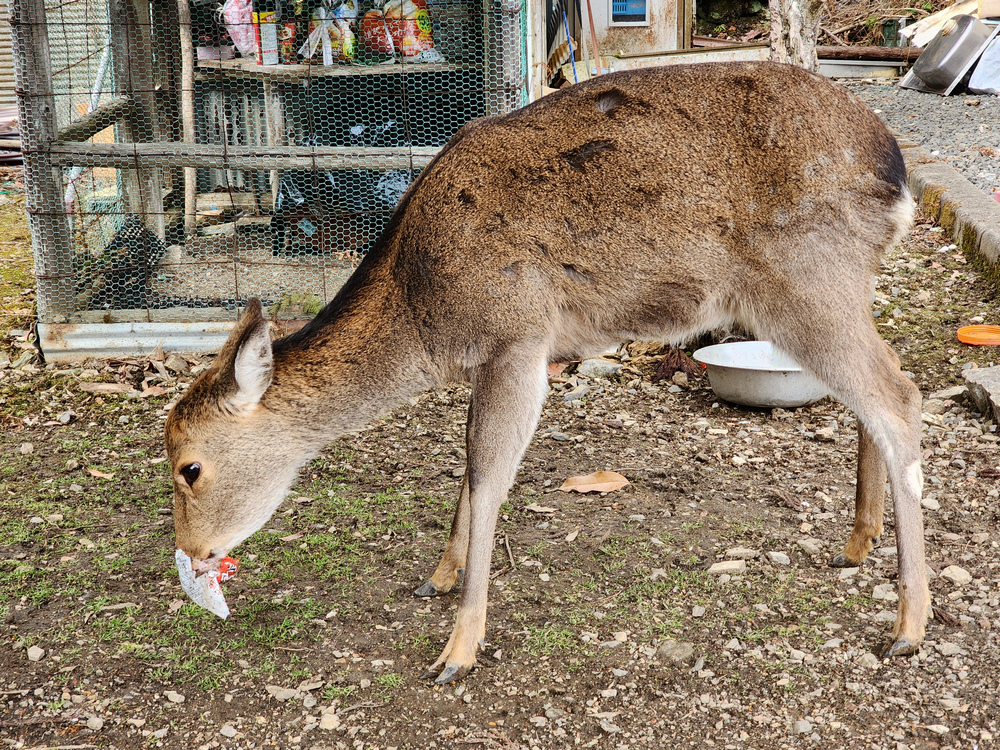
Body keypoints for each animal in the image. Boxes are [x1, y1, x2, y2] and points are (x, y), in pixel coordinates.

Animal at [166, 61, 928, 688]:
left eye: (189, 468)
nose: (192, 553)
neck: (423, 317)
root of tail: (897, 172)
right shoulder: (490, 358)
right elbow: (467, 464)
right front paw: (439, 575)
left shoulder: (519, 339)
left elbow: (489, 476)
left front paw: (456, 652)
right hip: (838, 289)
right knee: (881, 383)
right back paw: (857, 543)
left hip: (806, 281)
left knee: (899, 397)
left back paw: (908, 626)